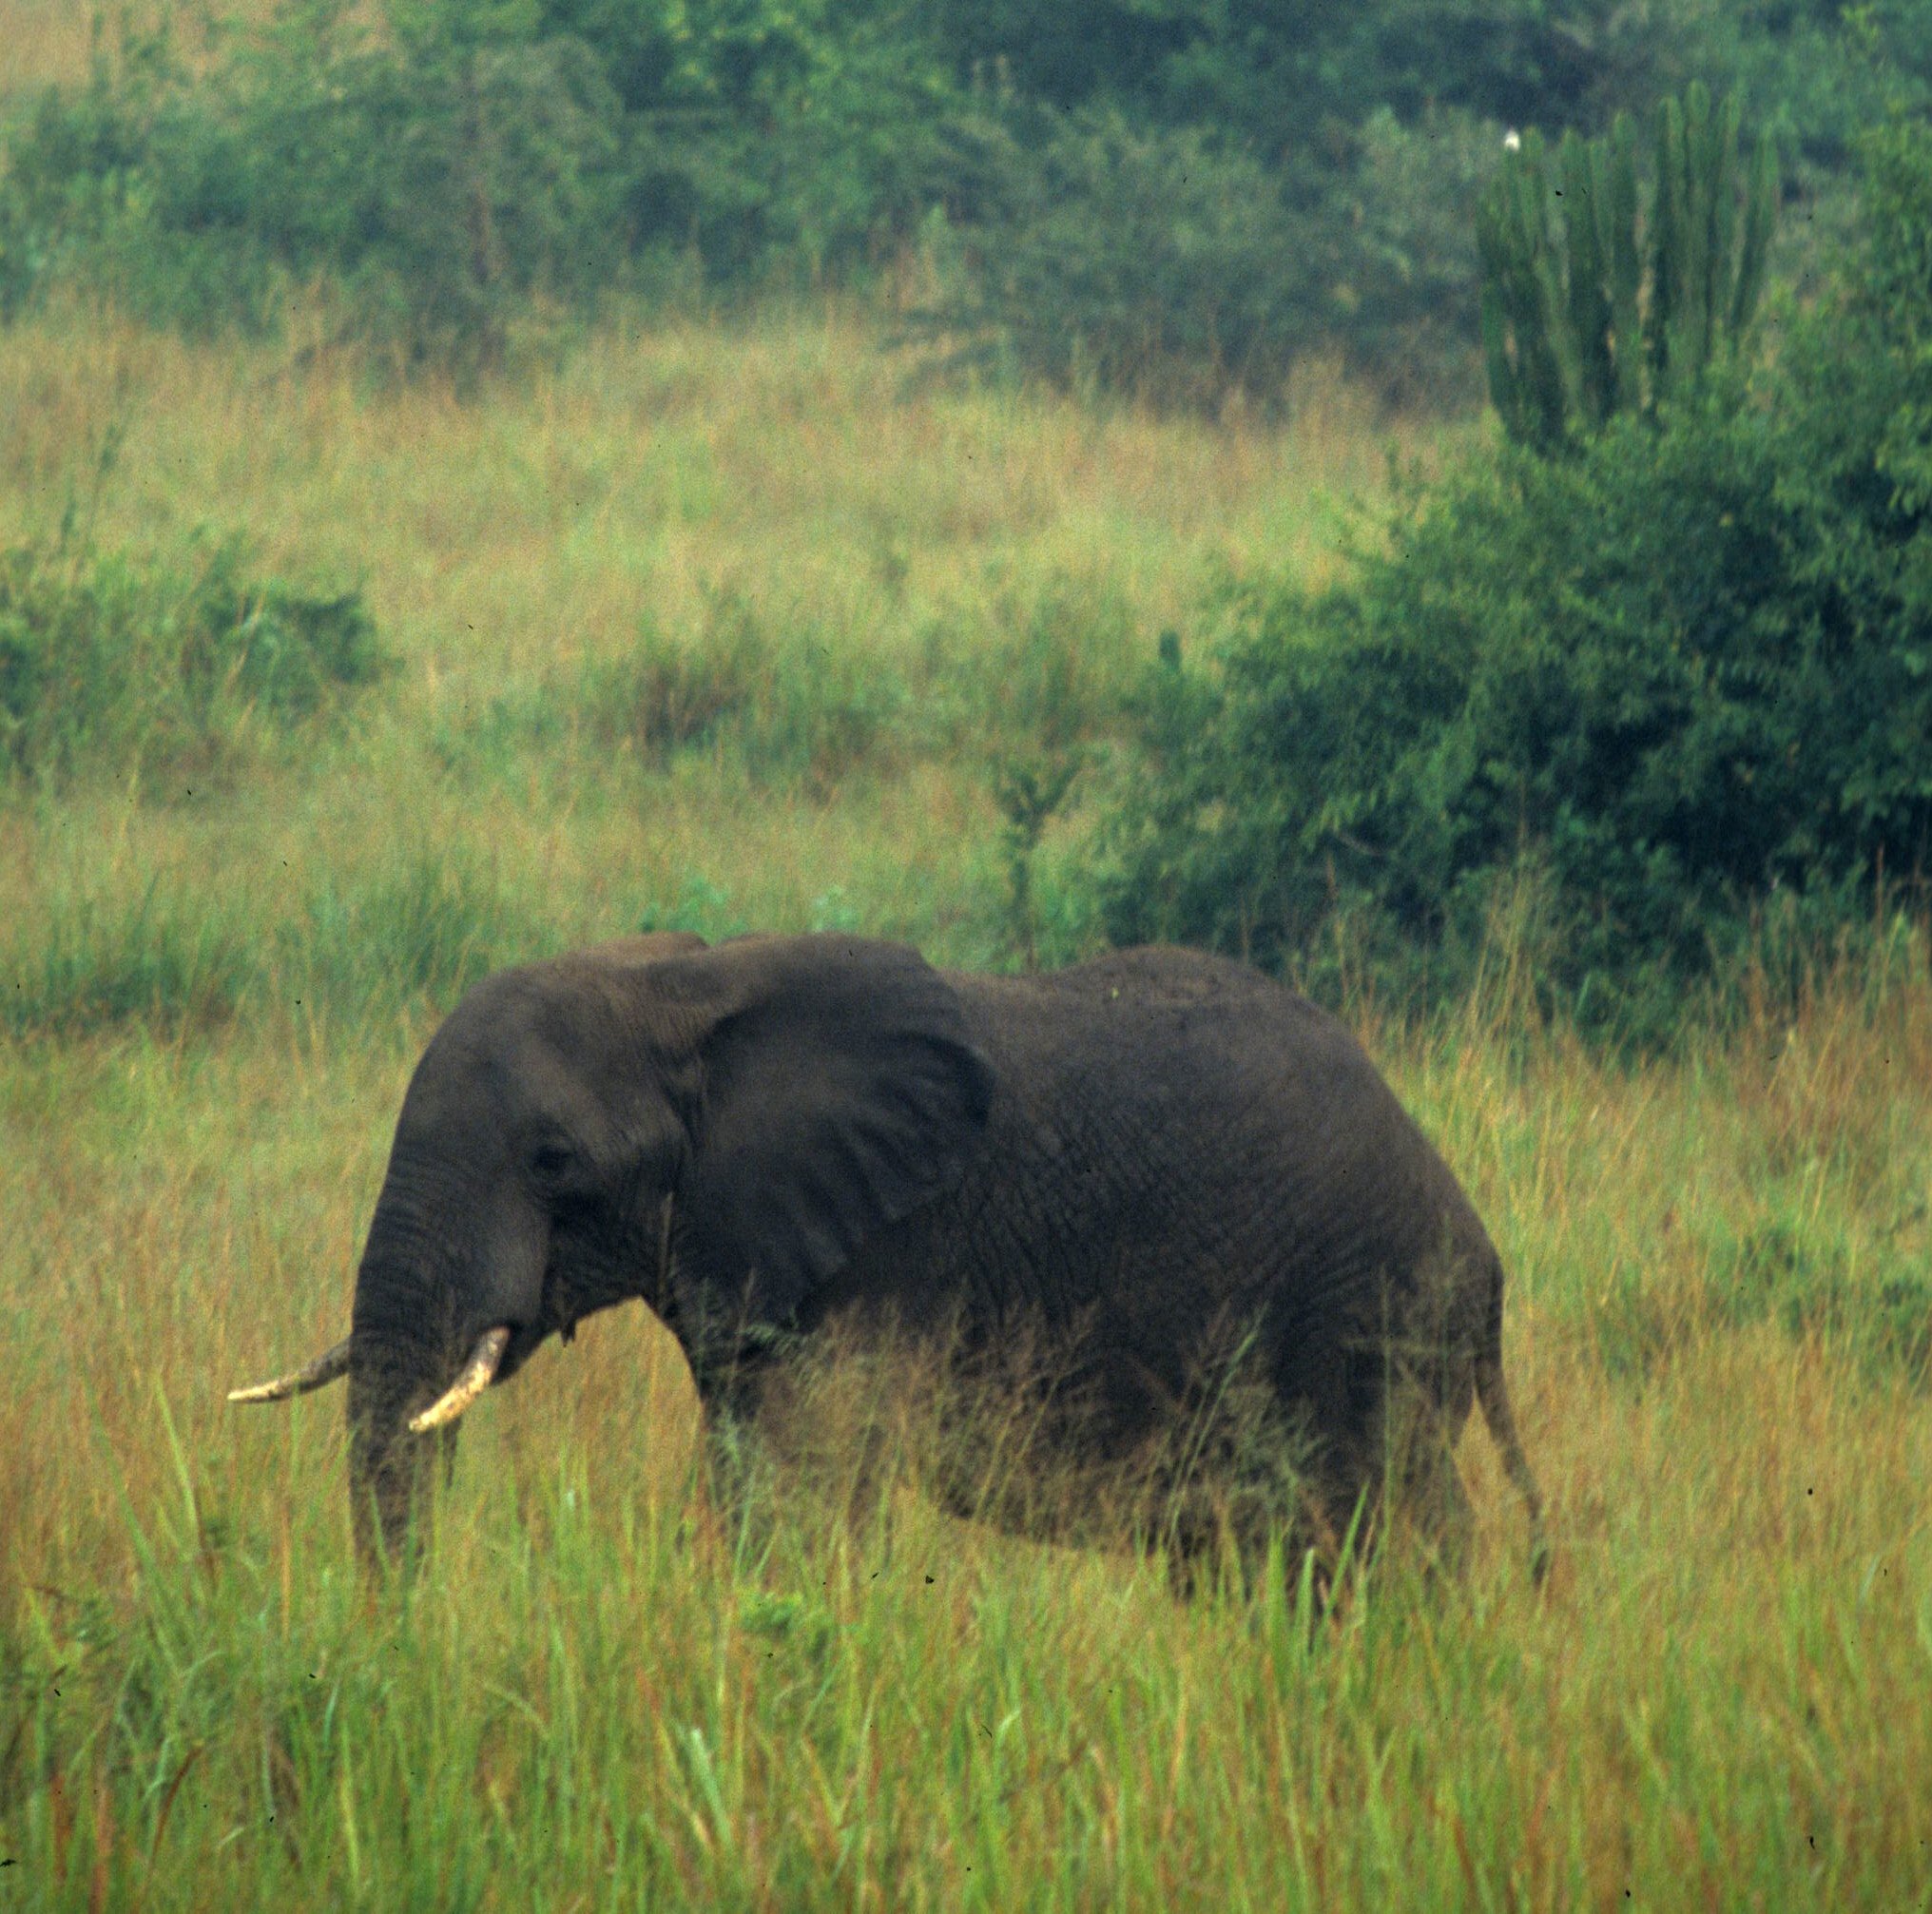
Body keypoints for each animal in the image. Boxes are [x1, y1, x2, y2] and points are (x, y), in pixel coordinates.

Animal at [230, 932, 1546, 1582]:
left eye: (553, 1161)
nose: (409, 1645)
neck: (677, 987)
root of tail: (1484, 1256)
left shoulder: (883, 1260)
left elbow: (797, 1501)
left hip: (1372, 1315)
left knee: (1390, 1529)